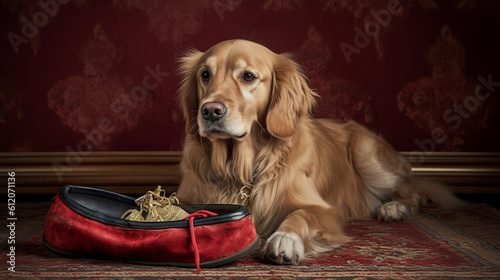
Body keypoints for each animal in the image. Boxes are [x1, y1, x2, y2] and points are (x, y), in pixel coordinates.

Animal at [175, 39, 460, 264]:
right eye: (205, 75)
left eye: (248, 76)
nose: (210, 111)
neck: (238, 169)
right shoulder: (188, 197)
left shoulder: (322, 209)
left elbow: (300, 214)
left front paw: (285, 239)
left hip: (367, 155)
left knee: (410, 191)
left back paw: (394, 208)